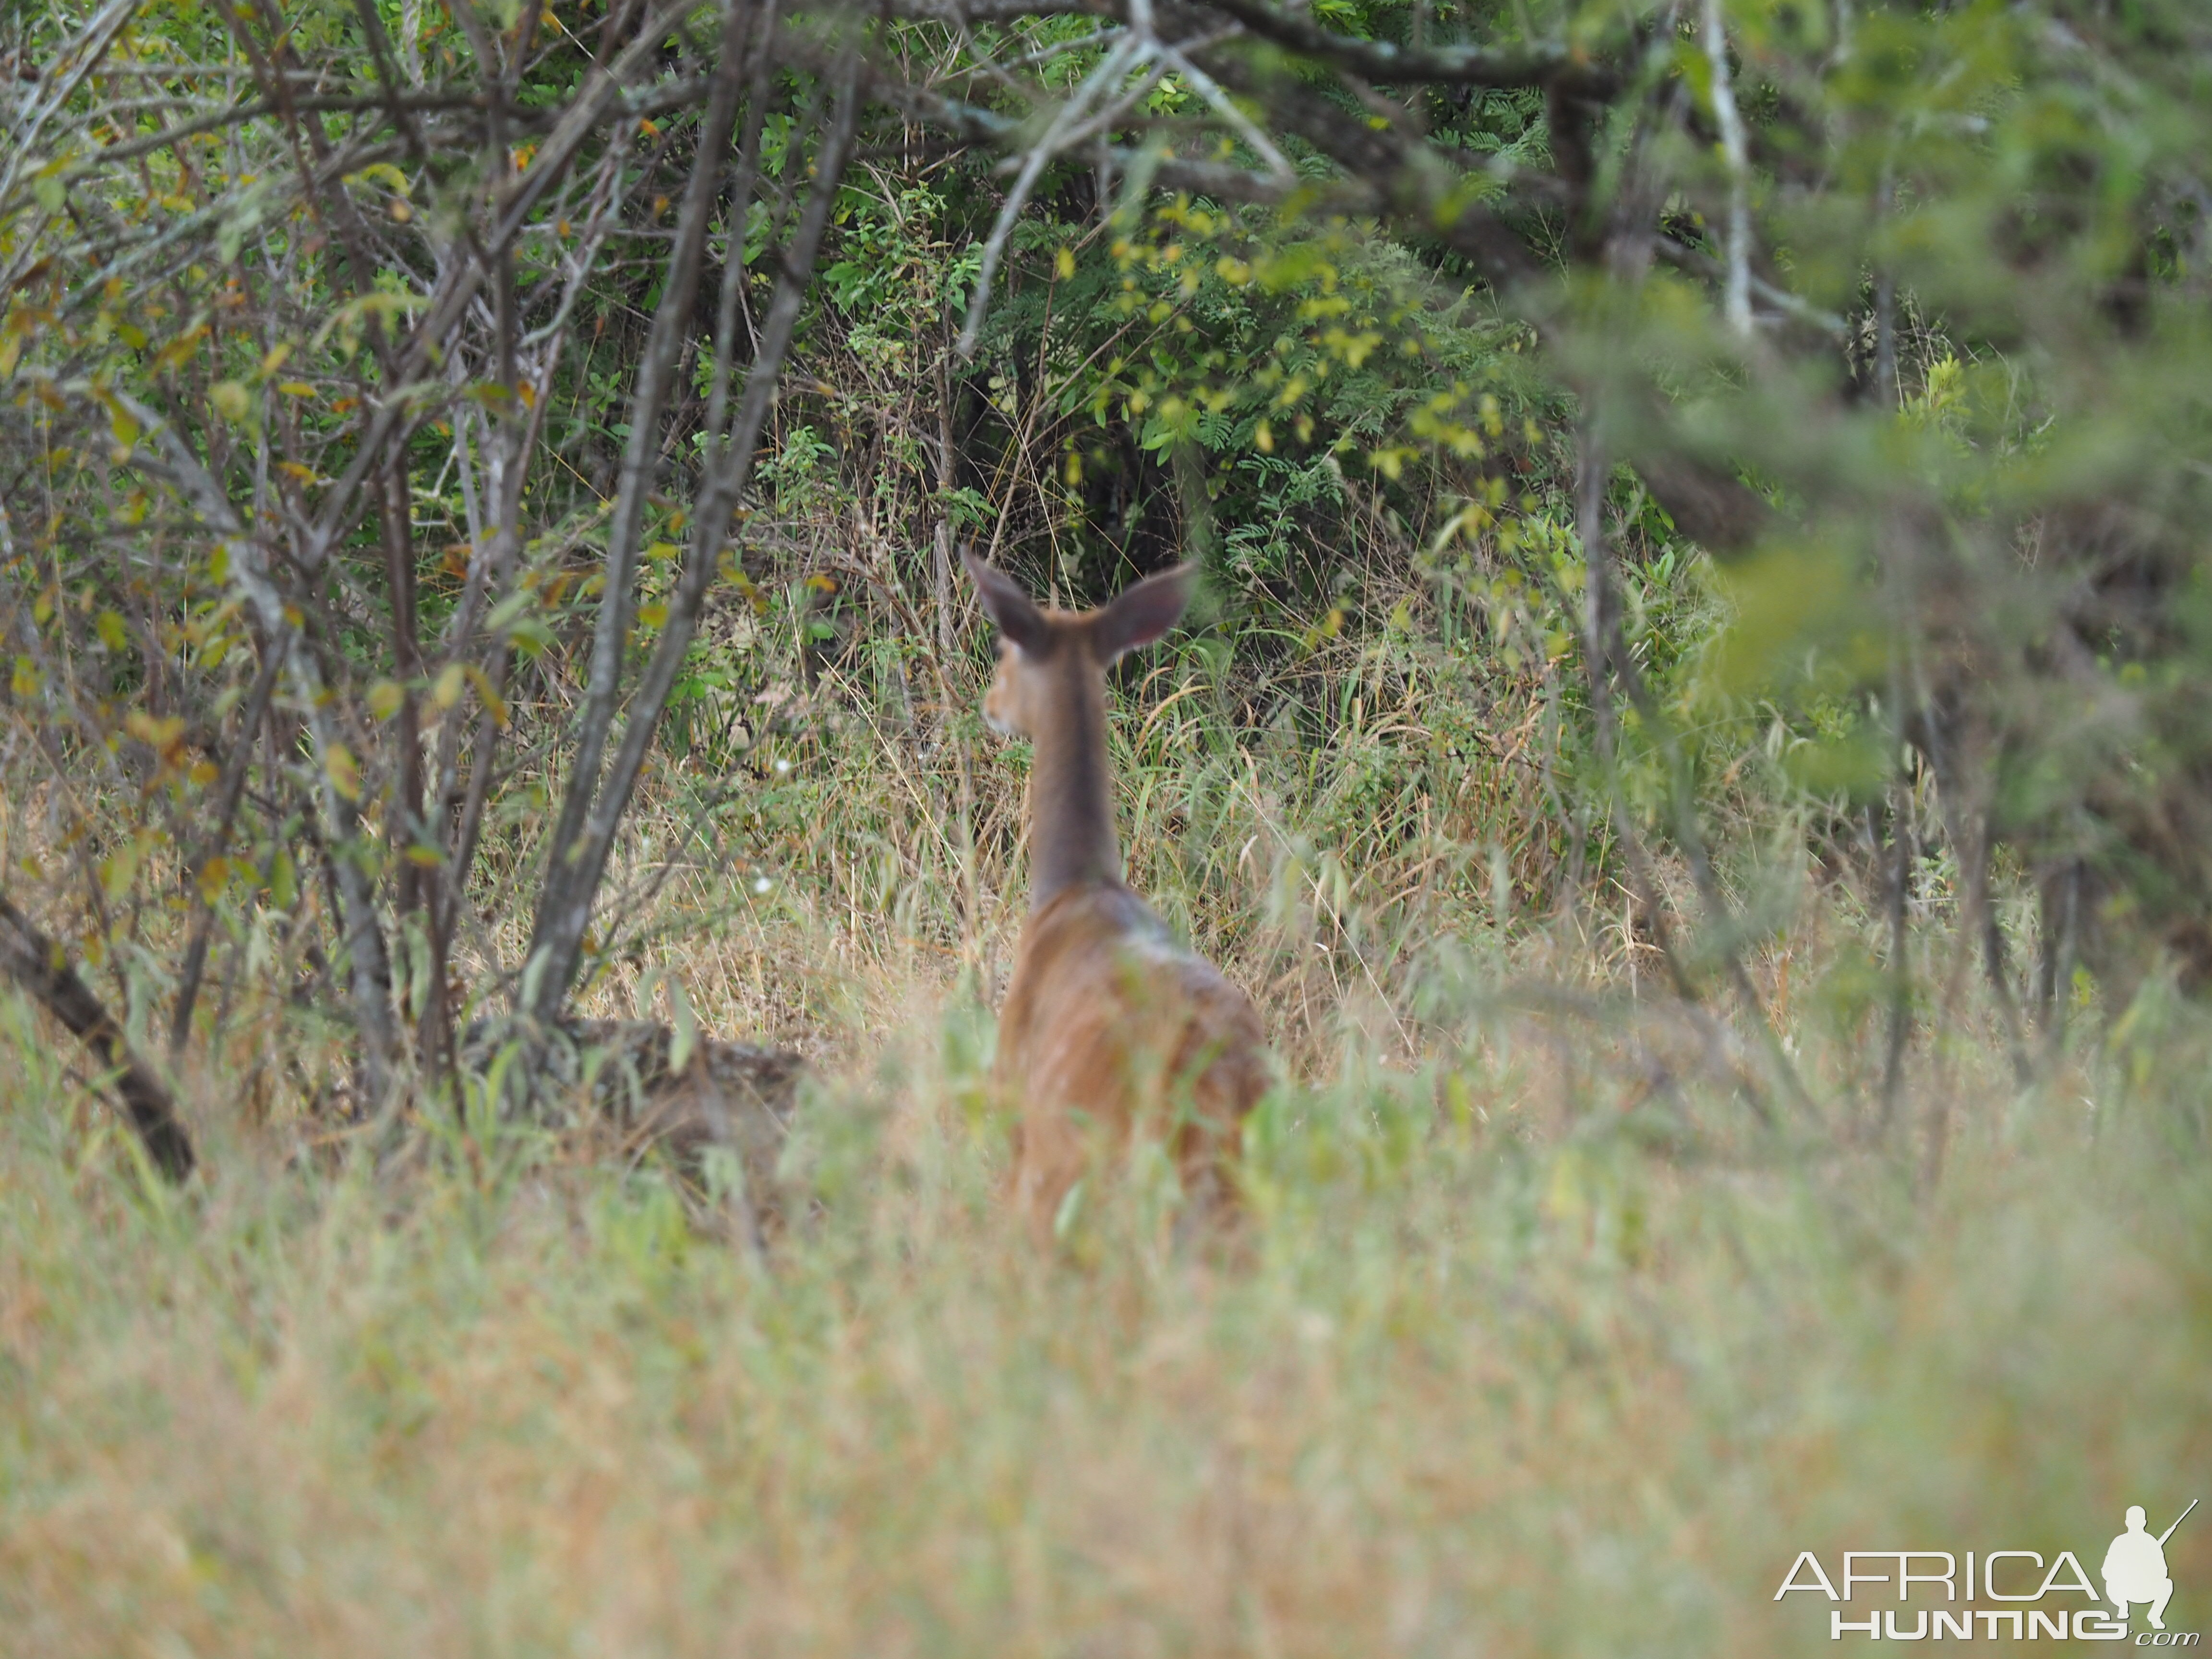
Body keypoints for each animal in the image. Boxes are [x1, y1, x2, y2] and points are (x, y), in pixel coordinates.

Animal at [964, 559, 1274, 1247]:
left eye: (1005, 649)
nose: (990, 705)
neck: (1074, 885)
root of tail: (1216, 1079)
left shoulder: (1014, 1107)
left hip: (1081, 1167)